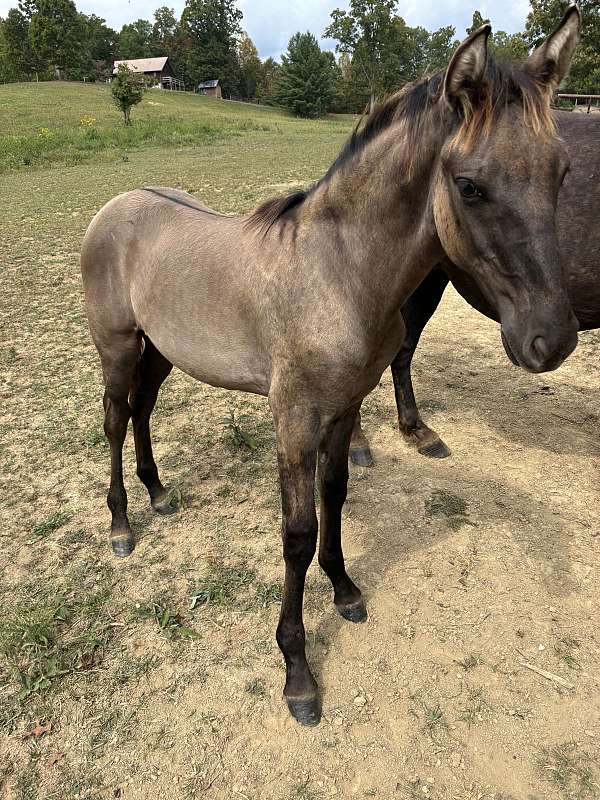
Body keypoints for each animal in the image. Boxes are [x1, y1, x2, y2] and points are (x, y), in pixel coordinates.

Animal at [81, 9, 580, 728]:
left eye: (562, 172)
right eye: (468, 184)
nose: (552, 338)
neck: (338, 273)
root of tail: (116, 204)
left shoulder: (345, 406)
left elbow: (336, 496)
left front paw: (343, 587)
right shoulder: (293, 417)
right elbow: (296, 531)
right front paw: (297, 670)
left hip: (163, 351)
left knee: (143, 410)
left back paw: (159, 492)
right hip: (118, 346)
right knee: (117, 421)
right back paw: (122, 524)